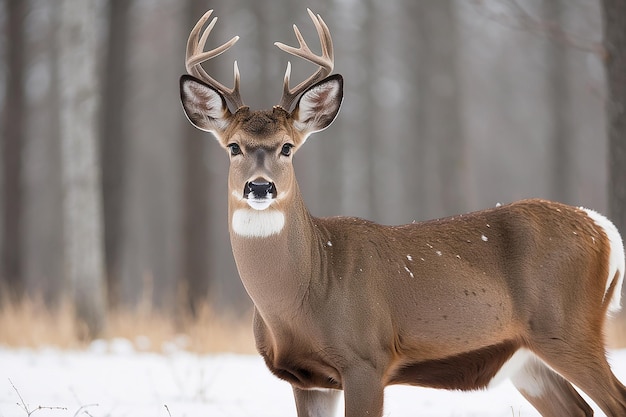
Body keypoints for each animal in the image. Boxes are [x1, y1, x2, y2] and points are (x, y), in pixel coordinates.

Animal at [179, 9, 624, 416]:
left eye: (287, 147)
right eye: (233, 147)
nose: (259, 187)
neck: (304, 295)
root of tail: (603, 229)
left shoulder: (366, 359)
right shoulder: (307, 380)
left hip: (568, 328)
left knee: (614, 401)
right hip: (527, 359)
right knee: (579, 409)